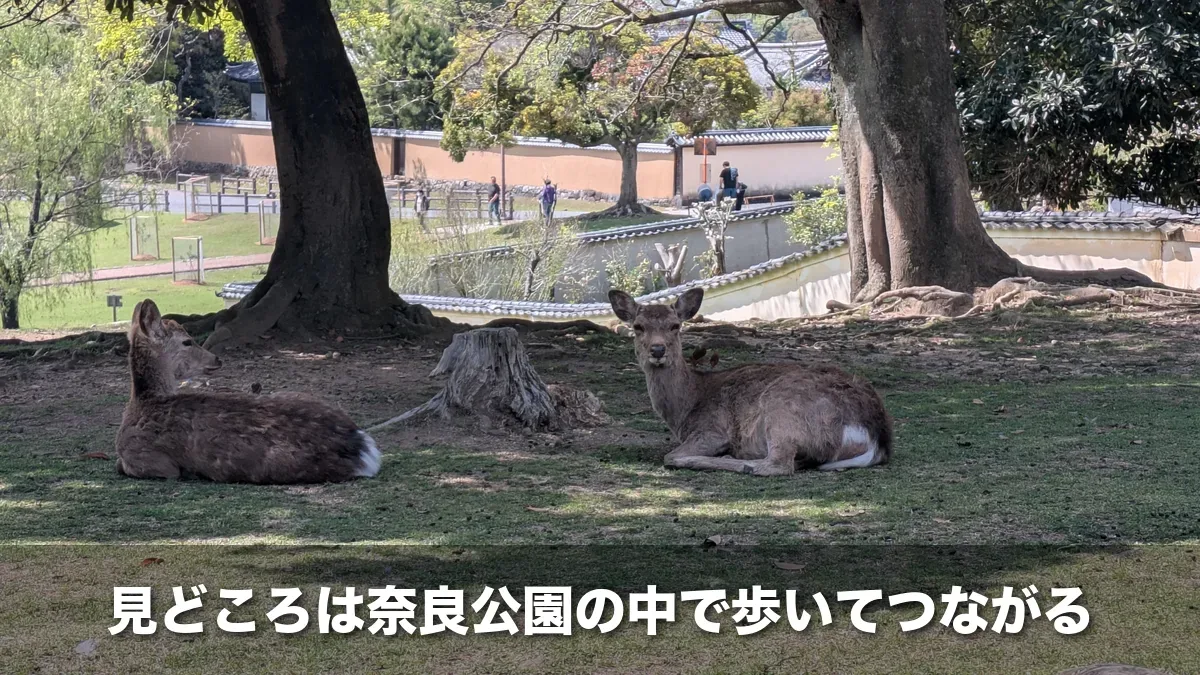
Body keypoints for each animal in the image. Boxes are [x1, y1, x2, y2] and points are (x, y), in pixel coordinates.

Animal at [115, 299, 382, 484]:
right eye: (187, 341)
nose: (217, 358)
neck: (142, 403)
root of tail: (363, 447)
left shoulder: (151, 461)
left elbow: (122, 466)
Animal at [609, 288, 893, 476]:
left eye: (675, 325)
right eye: (638, 326)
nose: (657, 350)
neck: (685, 409)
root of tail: (876, 437)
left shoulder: (711, 430)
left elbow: (671, 454)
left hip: (783, 410)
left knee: (777, 465)